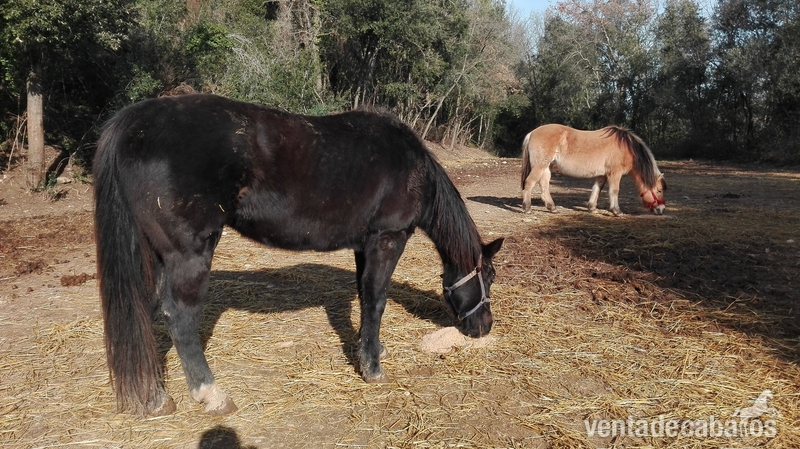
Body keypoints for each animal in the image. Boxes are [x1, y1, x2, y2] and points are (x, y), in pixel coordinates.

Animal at [93, 94, 504, 417]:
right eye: (489, 276)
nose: (484, 327)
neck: (411, 167)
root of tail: (133, 122)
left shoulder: (364, 245)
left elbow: (364, 294)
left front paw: (370, 350)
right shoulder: (387, 239)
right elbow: (376, 299)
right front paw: (372, 368)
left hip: (158, 255)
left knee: (150, 312)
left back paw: (157, 397)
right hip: (189, 252)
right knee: (179, 318)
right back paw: (211, 394)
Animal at [520, 124, 666, 216]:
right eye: (659, 190)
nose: (661, 209)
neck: (627, 148)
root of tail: (532, 133)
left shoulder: (602, 175)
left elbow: (597, 189)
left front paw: (592, 208)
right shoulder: (615, 174)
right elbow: (614, 191)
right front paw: (617, 211)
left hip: (547, 167)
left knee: (544, 187)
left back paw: (552, 208)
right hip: (540, 166)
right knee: (529, 183)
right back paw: (527, 208)